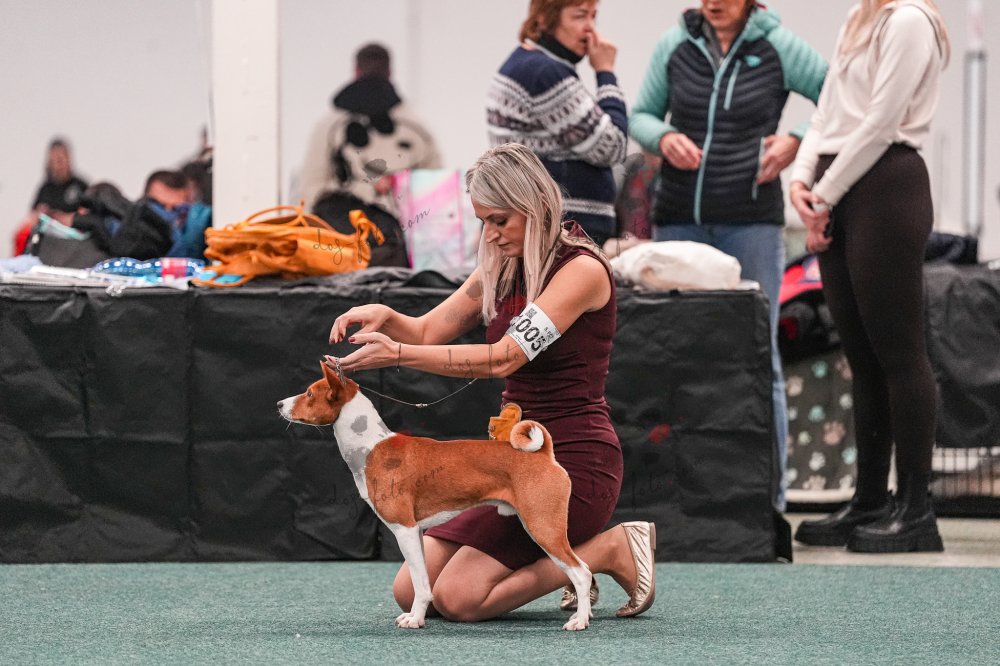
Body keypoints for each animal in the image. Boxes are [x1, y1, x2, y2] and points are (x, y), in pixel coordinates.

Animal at [277, 361, 593, 630]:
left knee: (581, 571)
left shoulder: (403, 528)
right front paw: (417, 614)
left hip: (543, 526)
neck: (371, 448)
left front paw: (415, 620)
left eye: (309, 393)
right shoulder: (416, 532)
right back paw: (586, 613)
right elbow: (424, 582)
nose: (279, 403)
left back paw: (579, 620)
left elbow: (418, 583)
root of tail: (544, 454)